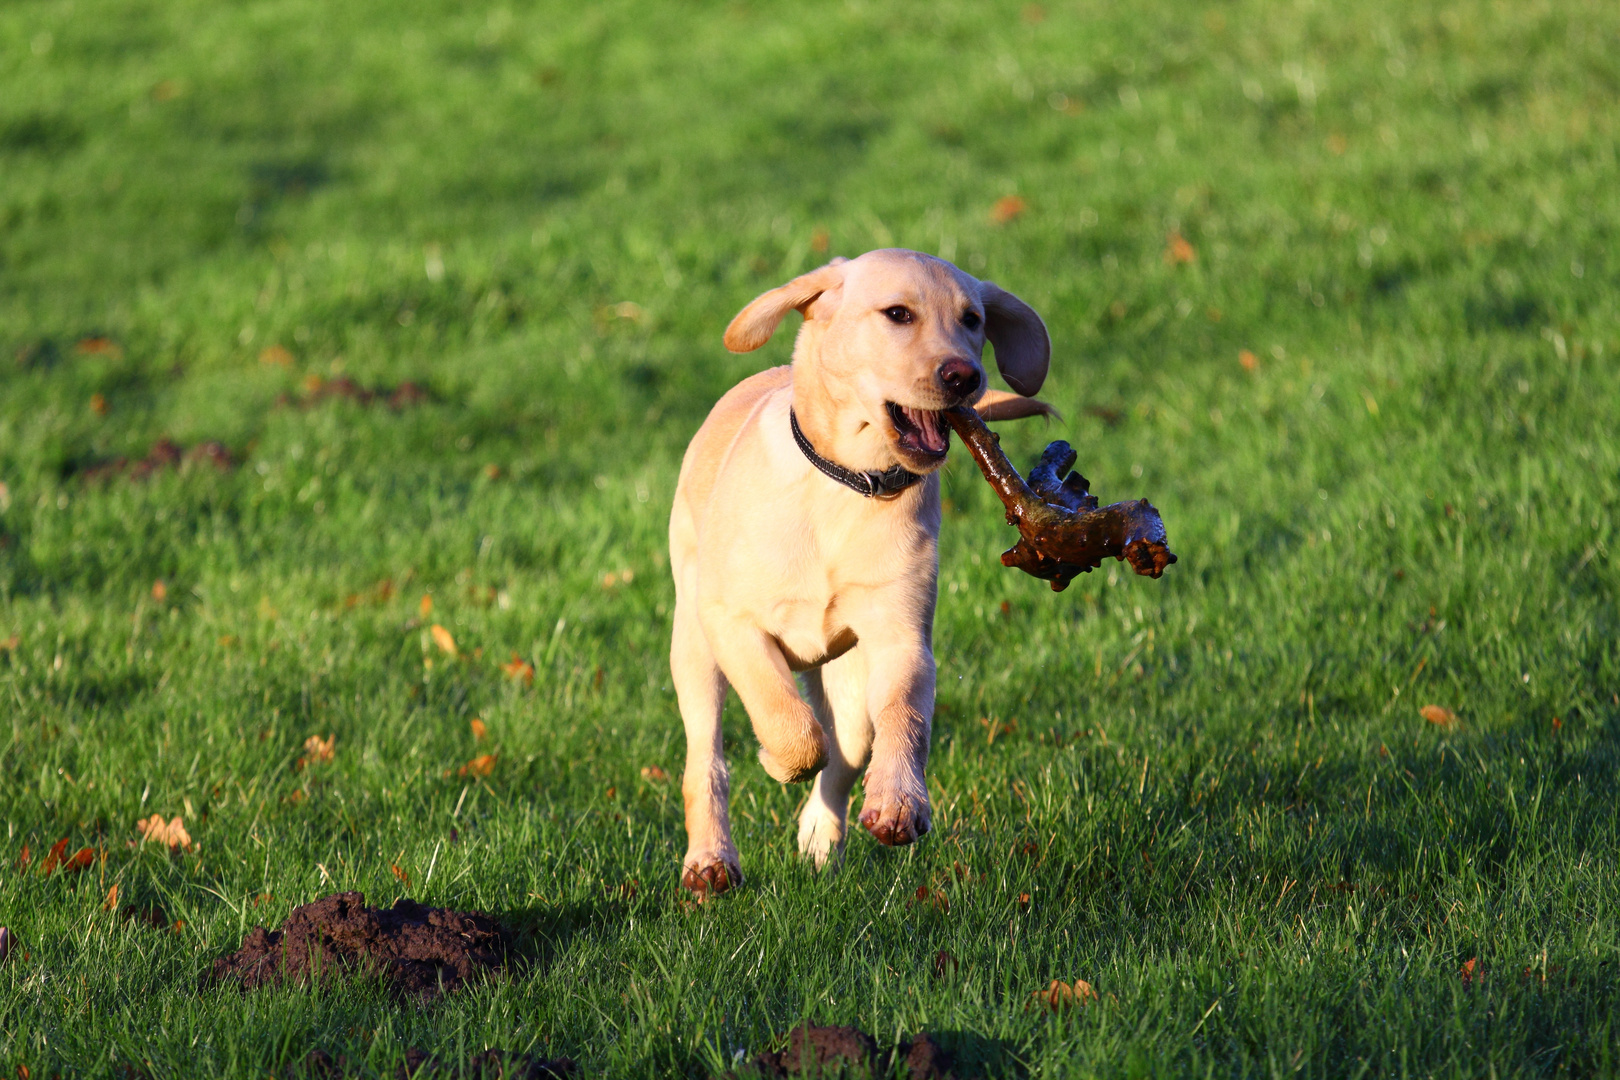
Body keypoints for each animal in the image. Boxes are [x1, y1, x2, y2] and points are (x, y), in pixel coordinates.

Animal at [667, 249, 1049, 900]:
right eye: (897, 314)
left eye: (972, 320)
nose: (965, 377)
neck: (848, 482)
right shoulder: (732, 623)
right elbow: (786, 721)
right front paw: (776, 760)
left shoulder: (902, 639)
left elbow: (905, 717)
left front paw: (898, 803)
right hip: (692, 645)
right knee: (706, 758)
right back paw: (711, 859)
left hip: (849, 681)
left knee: (845, 753)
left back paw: (821, 837)